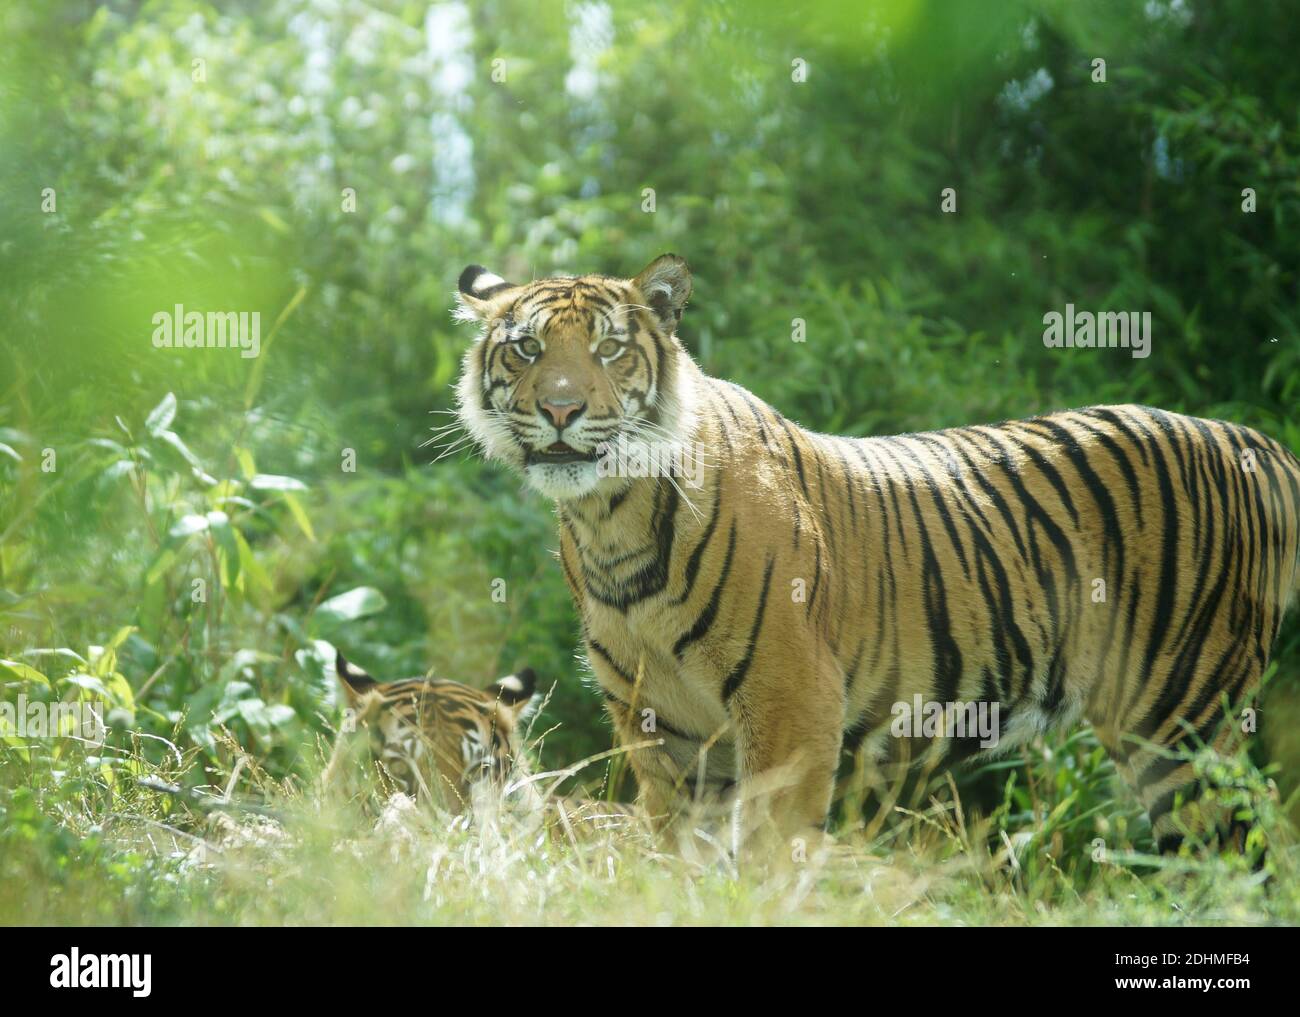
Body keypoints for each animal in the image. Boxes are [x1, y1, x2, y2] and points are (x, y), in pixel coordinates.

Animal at [454, 252, 1300, 853]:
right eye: (526, 348)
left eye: (609, 348)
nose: (561, 409)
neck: (611, 522)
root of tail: (1251, 439)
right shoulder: (662, 730)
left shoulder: (791, 701)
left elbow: (768, 855)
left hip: (1185, 717)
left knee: (1239, 851)